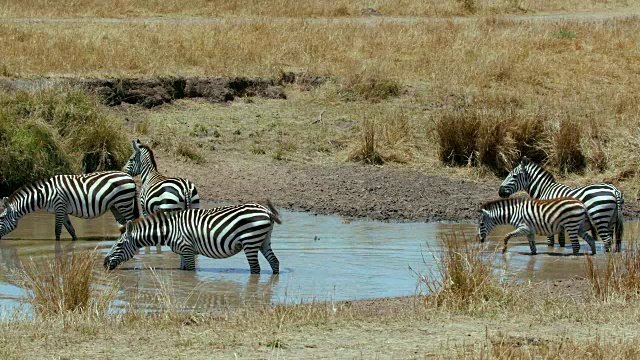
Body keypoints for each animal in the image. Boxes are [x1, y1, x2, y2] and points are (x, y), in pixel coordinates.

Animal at [0, 172, 139, 242]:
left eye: (1, 218)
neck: (45, 194)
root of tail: (129, 176)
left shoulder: (59, 206)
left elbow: (57, 231)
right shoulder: (62, 211)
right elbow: (71, 230)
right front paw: (74, 243)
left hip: (124, 202)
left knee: (132, 222)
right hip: (115, 206)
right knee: (123, 225)